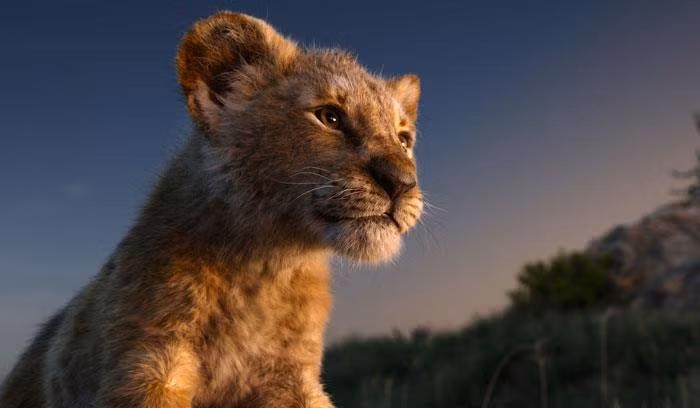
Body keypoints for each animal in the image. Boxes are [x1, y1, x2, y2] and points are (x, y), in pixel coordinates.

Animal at [0, 11, 423, 407]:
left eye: (404, 139)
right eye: (330, 117)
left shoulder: (290, 376)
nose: (402, 182)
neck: (264, 269)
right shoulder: (148, 362)